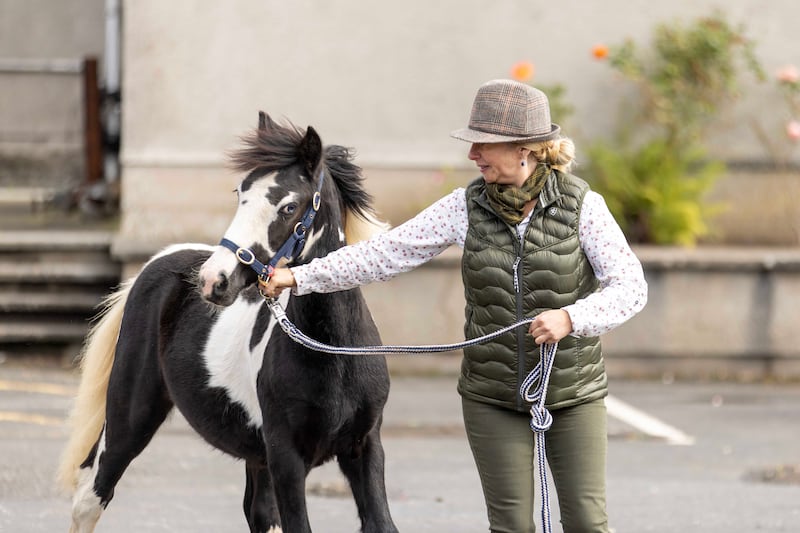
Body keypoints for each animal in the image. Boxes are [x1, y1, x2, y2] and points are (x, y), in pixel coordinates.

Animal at [57, 112, 400, 532]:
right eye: (240, 194)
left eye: (289, 206)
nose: (213, 280)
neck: (334, 352)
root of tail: (159, 261)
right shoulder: (287, 458)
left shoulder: (363, 448)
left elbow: (381, 523)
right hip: (129, 415)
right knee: (90, 498)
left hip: (255, 454)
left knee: (257, 511)